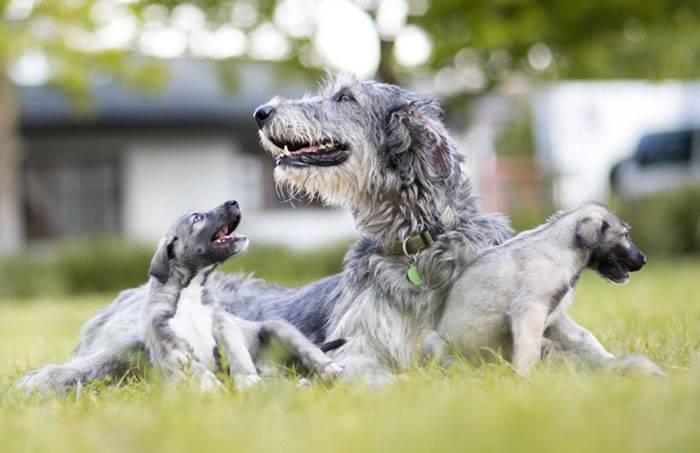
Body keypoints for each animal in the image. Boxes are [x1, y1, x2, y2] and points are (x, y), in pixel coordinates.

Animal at [146, 200, 344, 390]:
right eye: (197, 218)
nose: (233, 202)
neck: (189, 292)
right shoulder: (170, 347)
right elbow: (196, 369)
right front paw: (211, 388)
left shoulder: (224, 324)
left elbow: (236, 352)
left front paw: (246, 379)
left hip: (276, 326)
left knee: (310, 351)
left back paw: (330, 370)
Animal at [424, 204, 664, 374]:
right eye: (625, 235)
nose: (644, 260)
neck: (559, 252)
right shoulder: (530, 309)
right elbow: (528, 349)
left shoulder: (555, 316)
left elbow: (585, 338)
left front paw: (616, 363)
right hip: (431, 341)